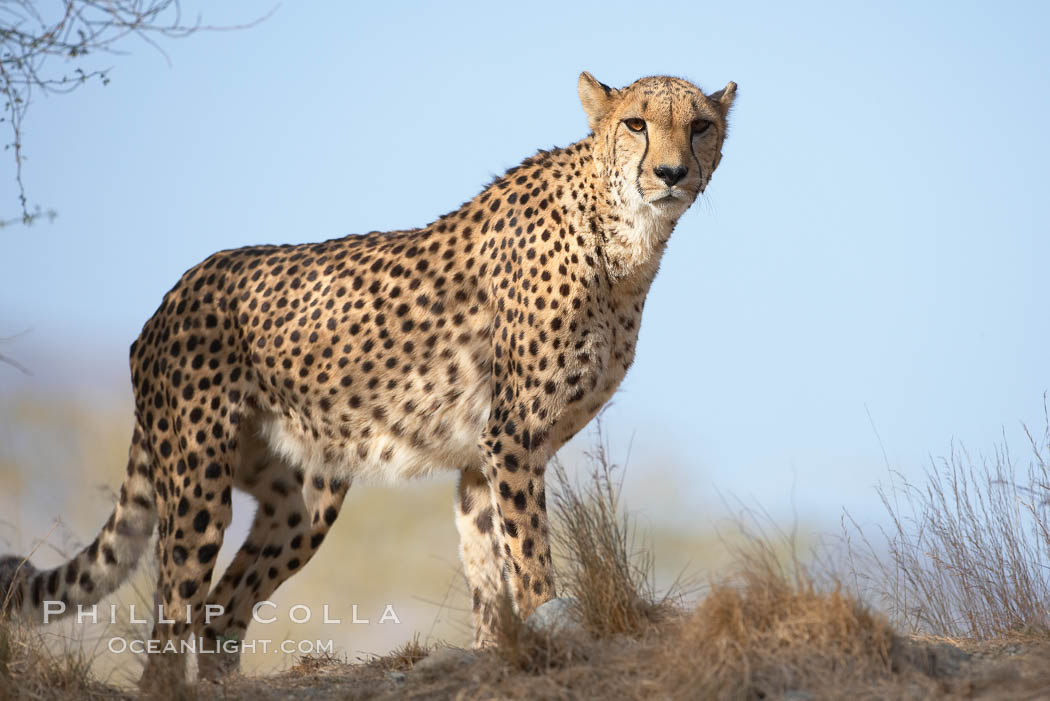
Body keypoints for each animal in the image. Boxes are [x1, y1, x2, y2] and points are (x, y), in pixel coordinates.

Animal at [0, 73, 739, 688]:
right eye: (637, 123)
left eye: (700, 125)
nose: (671, 172)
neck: (624, 236)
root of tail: (174, 293)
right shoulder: (513, 439)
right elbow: (529, 553)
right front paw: (547, 630)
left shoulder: (480, 460)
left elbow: (487, 569)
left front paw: (496, 650)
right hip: (197, 480)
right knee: (172, 617)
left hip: (300, 501)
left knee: (220, 610)